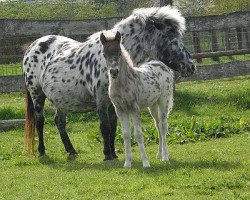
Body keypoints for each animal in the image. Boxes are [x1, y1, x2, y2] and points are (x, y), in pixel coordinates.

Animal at [23, 6, 195, 161]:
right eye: (172, 39)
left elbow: (113, 126)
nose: (191, 66)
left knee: (59, 122)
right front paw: (107, 155)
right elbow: (104, 126)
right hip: (37, 94)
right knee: (40, 121)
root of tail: (33, 45)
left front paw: (114, 153)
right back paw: (42, 152)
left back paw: (72, 151)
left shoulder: (114, 103)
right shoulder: (101, 100)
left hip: (61, 99)